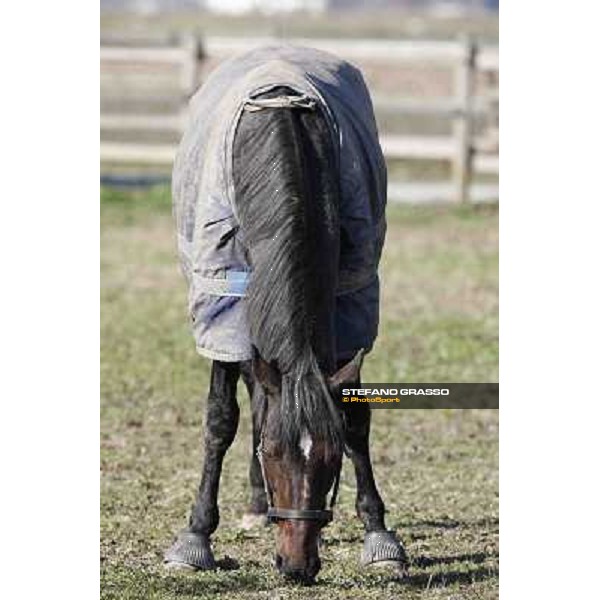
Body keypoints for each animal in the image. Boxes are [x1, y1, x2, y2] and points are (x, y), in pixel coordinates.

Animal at [164, 44, 408, 584]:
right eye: (274, 454)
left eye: (331, 459)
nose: (296, 566)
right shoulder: (223, 303)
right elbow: (221, 420)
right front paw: (194, 539)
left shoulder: (351, 303)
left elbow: (355, 419)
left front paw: (380, 536)